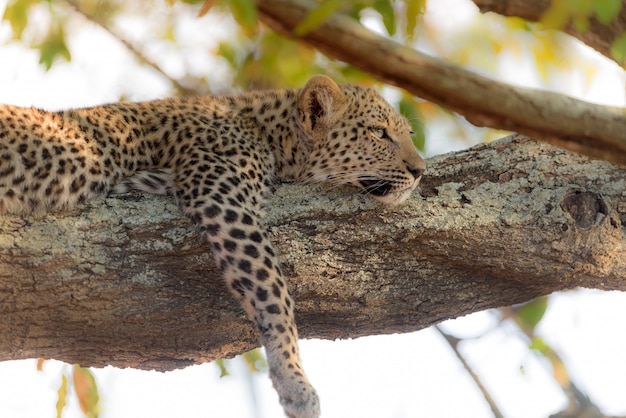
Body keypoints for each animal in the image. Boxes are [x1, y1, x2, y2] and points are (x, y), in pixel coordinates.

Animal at [0, 76, 424, 418]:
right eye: (379, 133)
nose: (420, 171)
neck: (270, 133)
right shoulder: (224, 200)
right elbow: (273, 290)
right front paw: (294, 381)